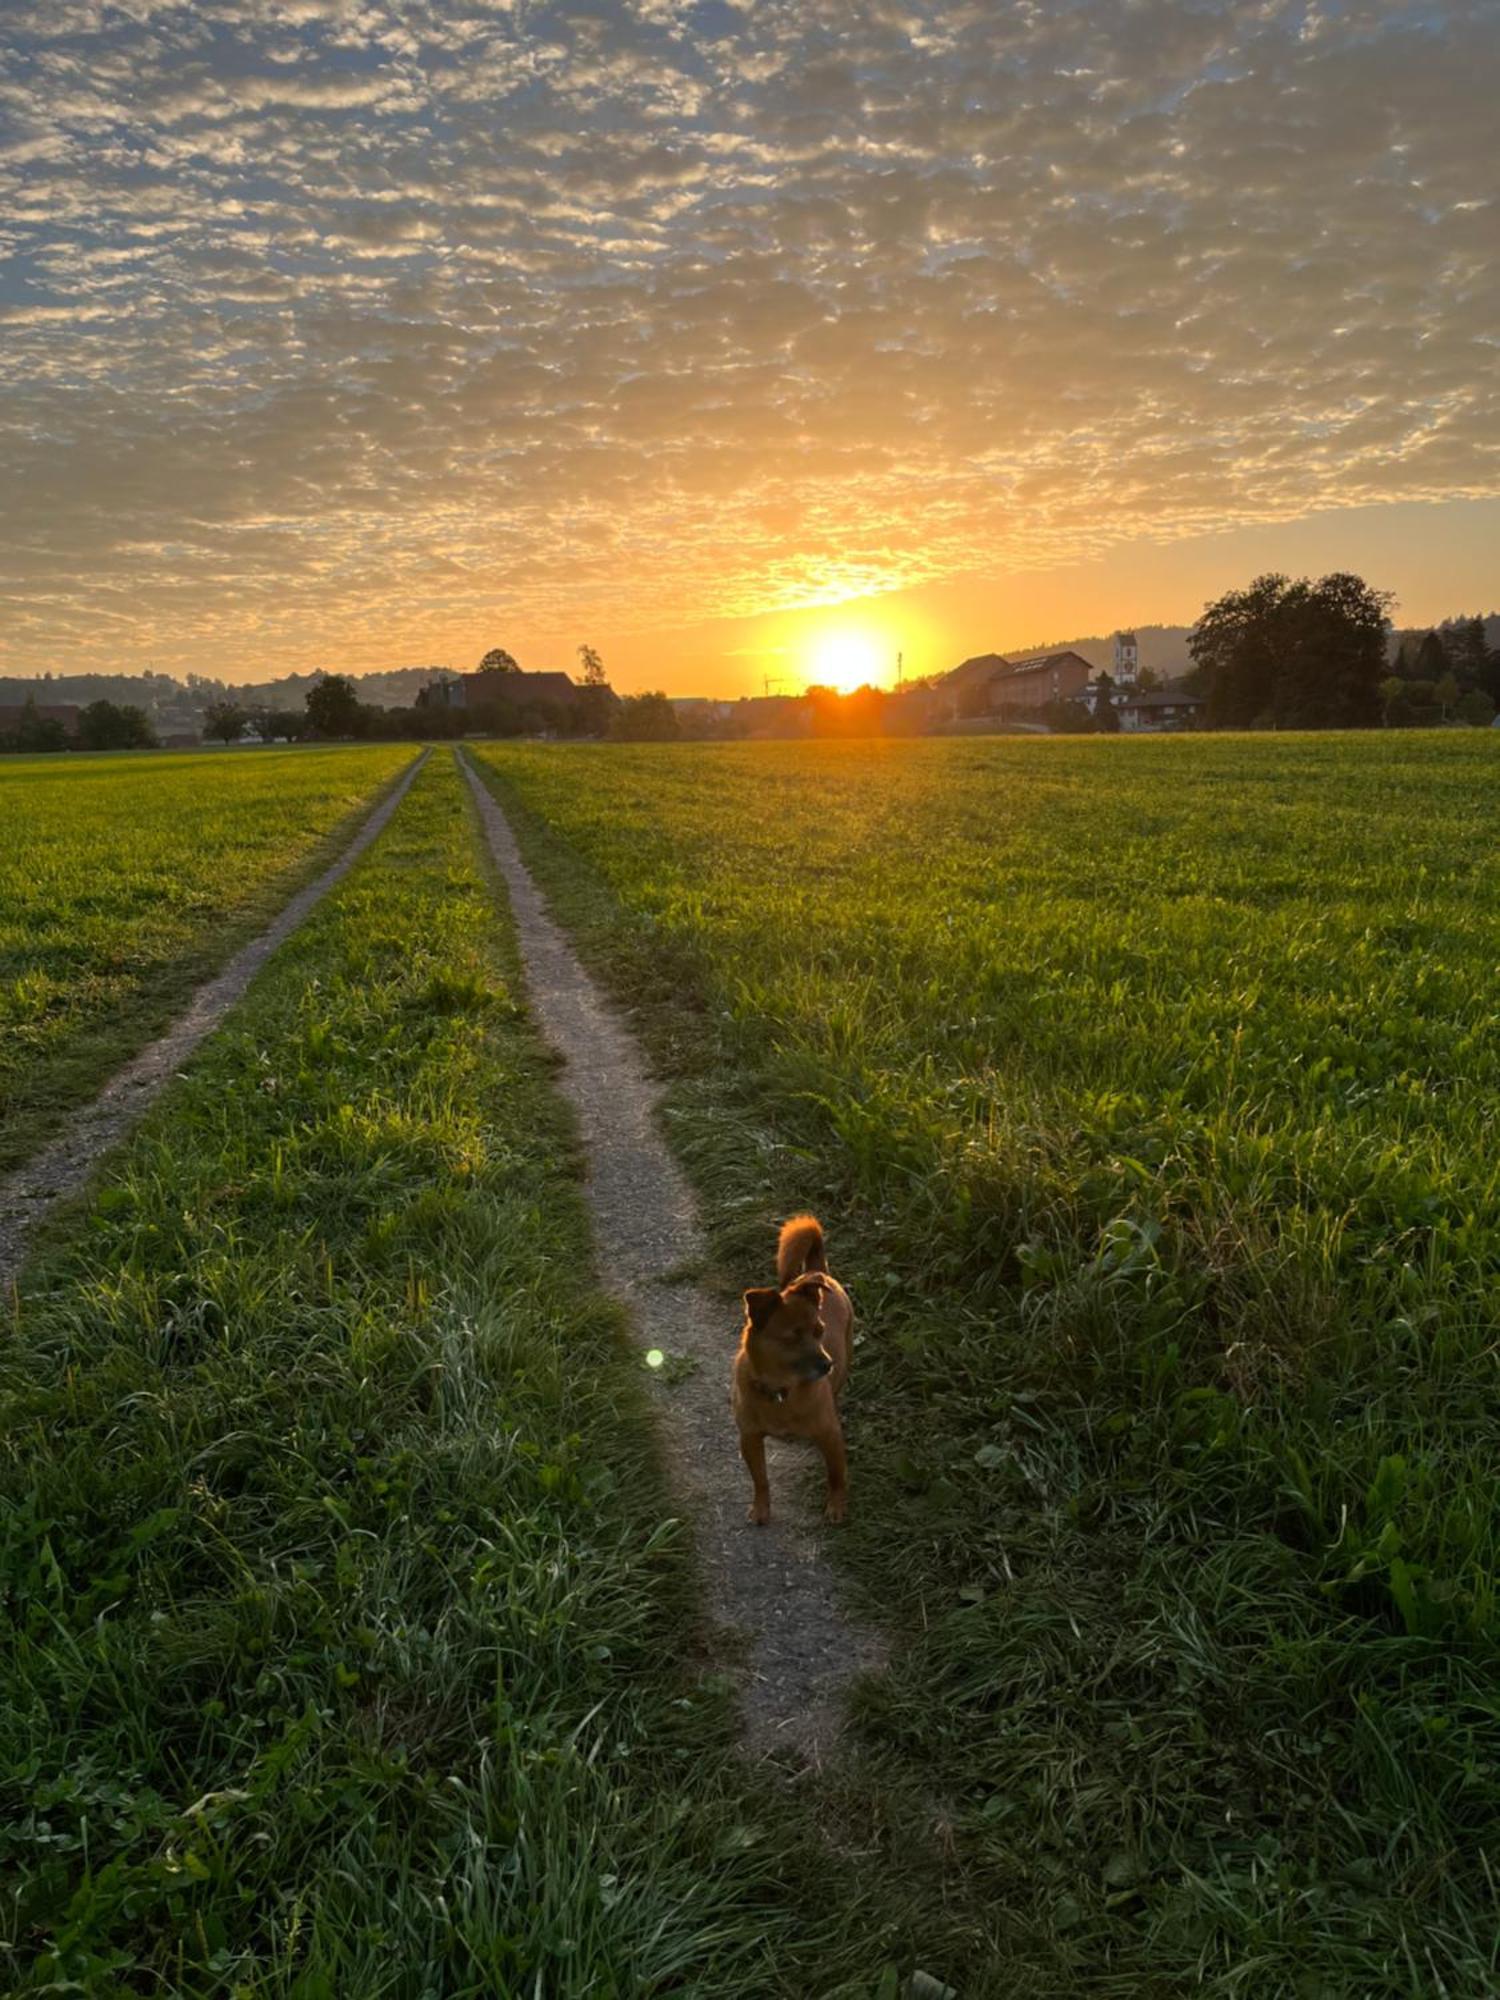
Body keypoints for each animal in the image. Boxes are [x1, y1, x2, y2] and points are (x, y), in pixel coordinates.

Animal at [732, 1208, 852, 1520]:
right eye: (791, 1338)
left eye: (820, 1331)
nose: (827, 1364)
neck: (781, 1390)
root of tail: (815, 1271)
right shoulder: (749, 1439)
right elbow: (760, 1479)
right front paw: (761, 1508)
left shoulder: (830, 1437)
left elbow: (836, 1476)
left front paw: (837, 1506)